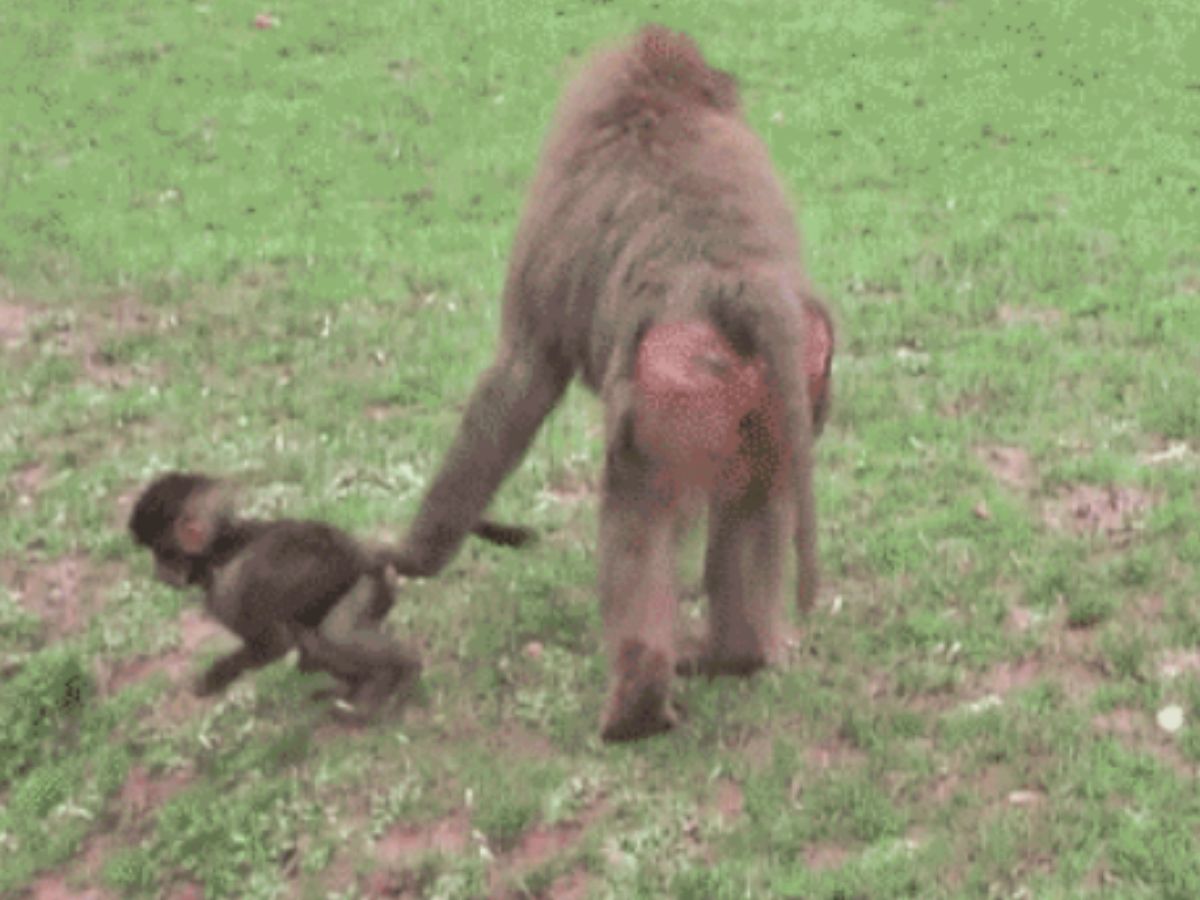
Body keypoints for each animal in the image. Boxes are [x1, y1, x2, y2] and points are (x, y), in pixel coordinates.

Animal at [128, 472, 533, 720]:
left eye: (162, 554)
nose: (157, 572)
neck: (221, 547)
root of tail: (363, 552)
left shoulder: (227, 590)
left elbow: (273, 644)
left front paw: (212, 680)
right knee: (315, 640)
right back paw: (362, 688)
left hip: (369, 585)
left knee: (335, 633)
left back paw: (404, 669)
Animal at [383, 26, 836, 741]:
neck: (650, 99)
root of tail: (739, 288)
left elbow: (520, 379)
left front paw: (413, 556)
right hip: (784, 389)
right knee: (755, 501)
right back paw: (732, 657)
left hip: (671, 389)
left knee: (634, 506)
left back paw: (636, 710)